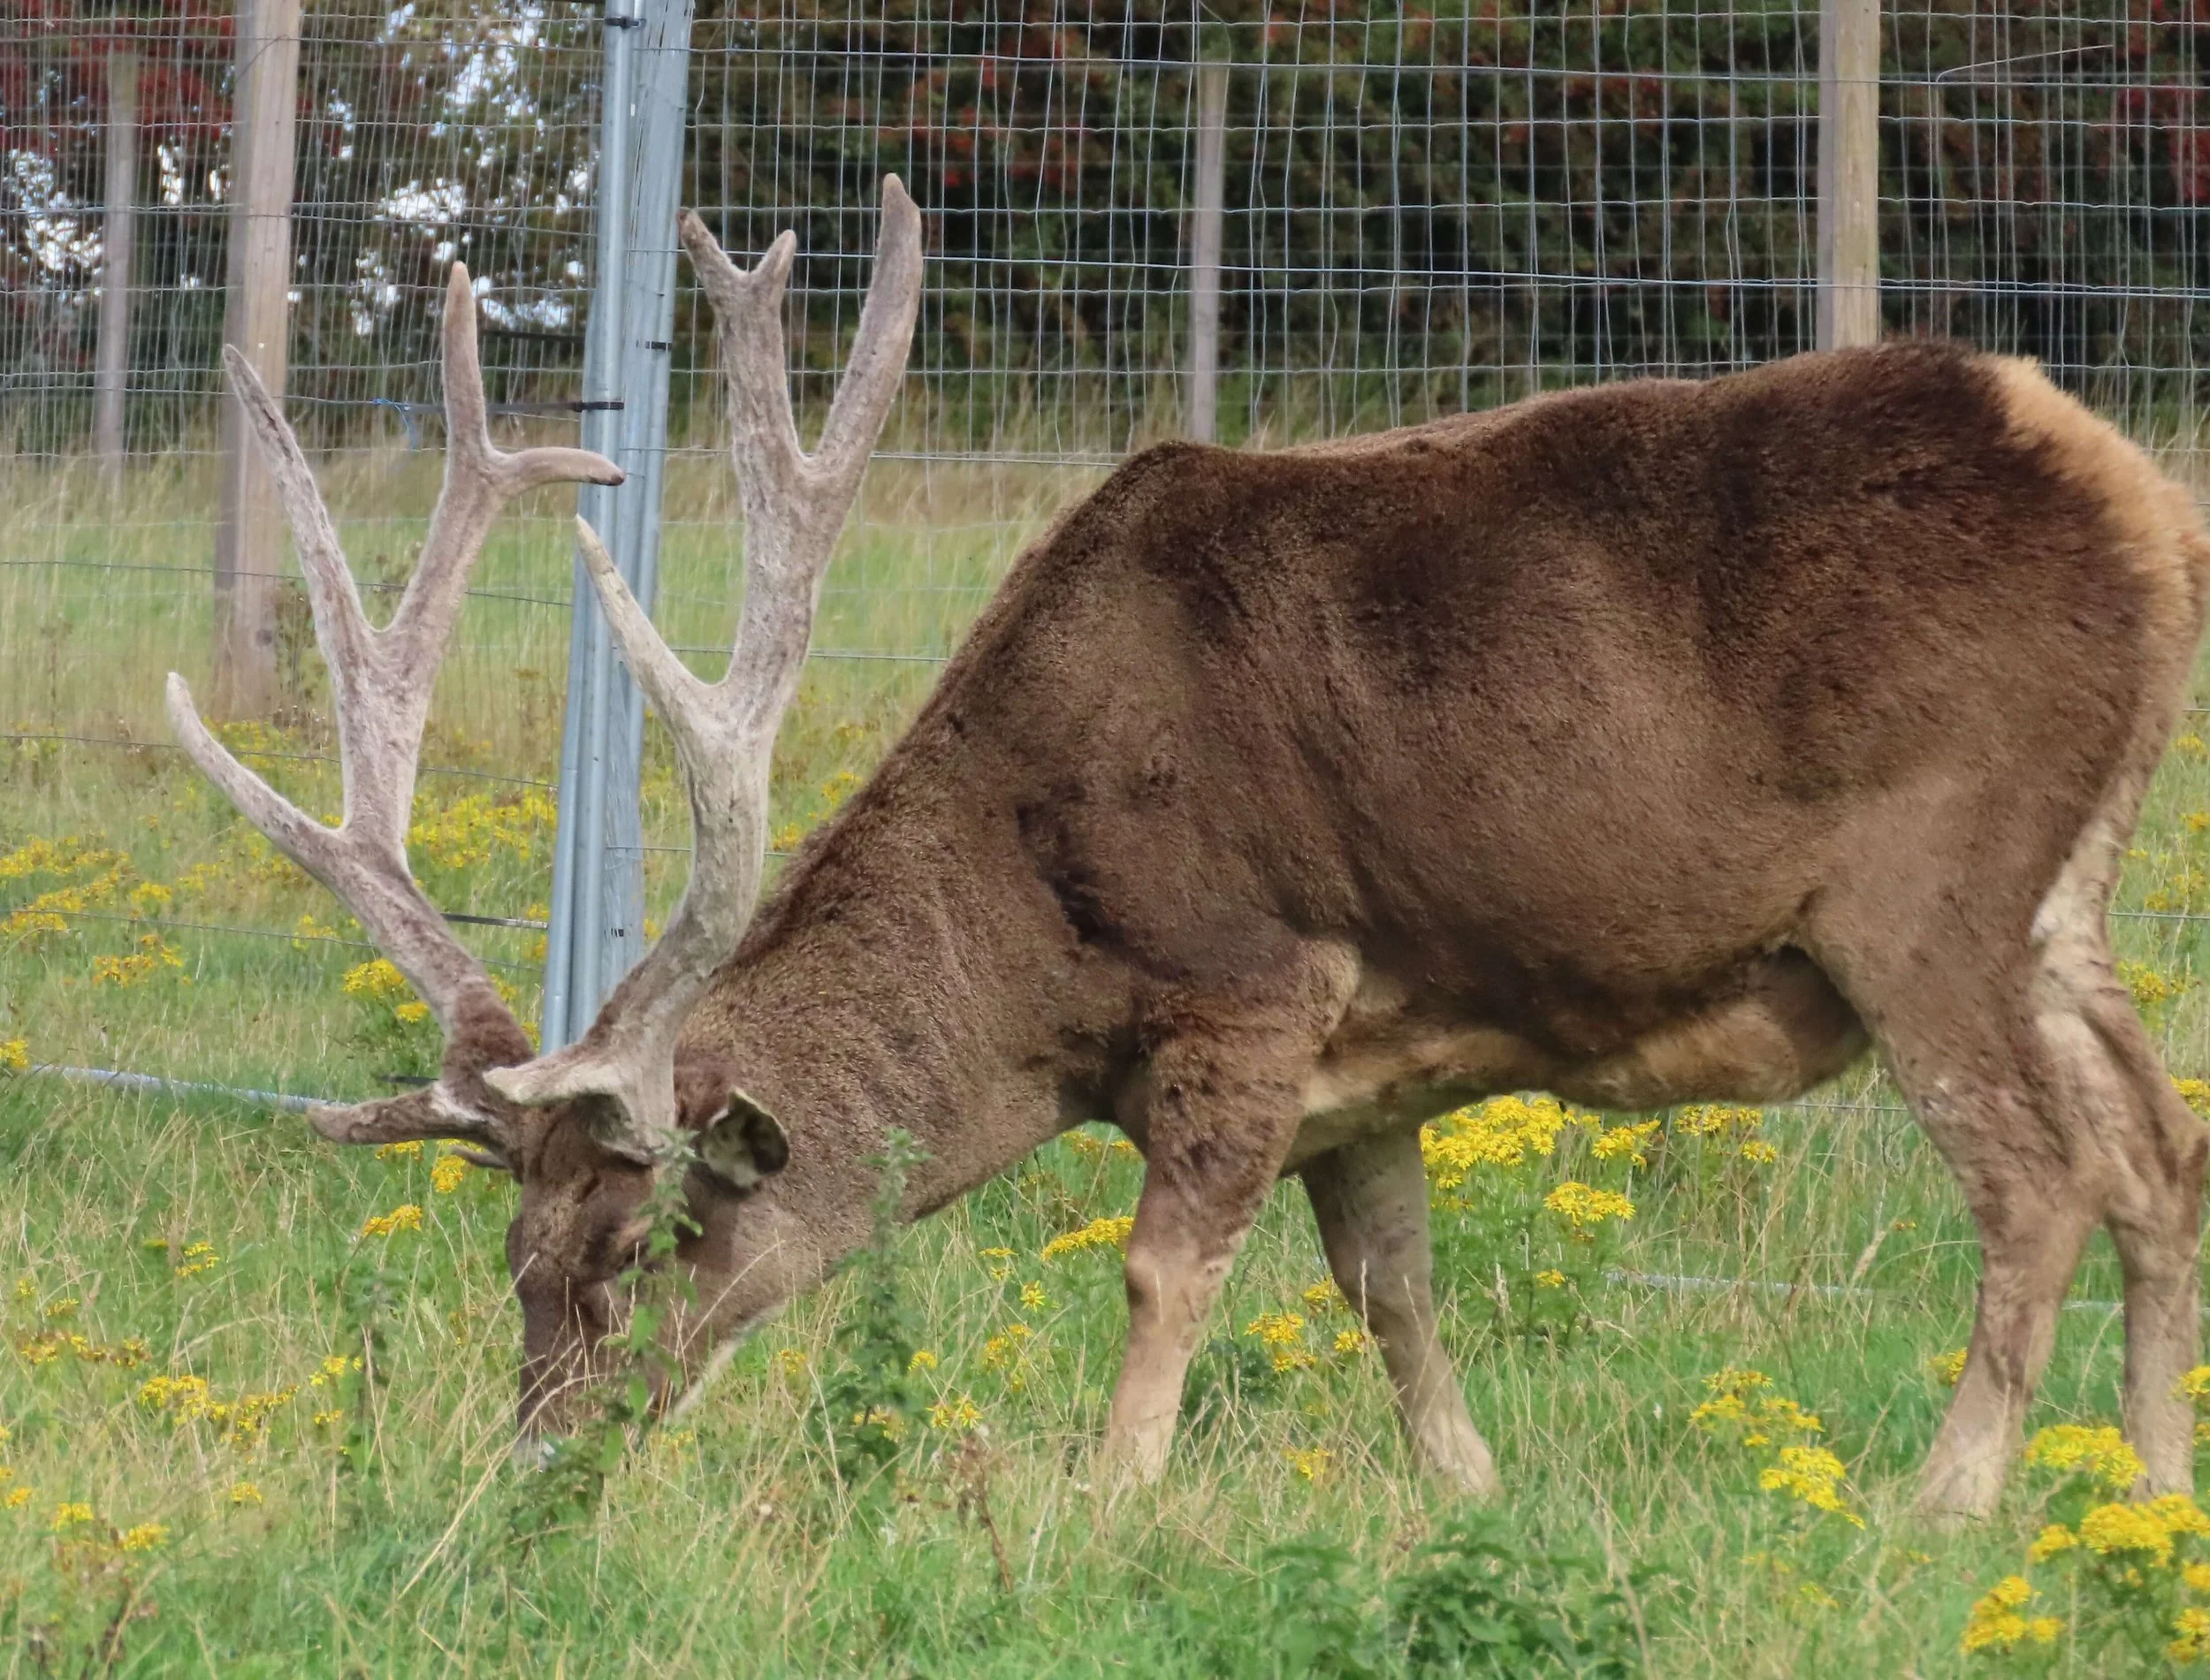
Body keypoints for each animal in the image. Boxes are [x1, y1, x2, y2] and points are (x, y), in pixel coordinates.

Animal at [167, 174, 2210, 1523]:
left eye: (640, 1243)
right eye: (510, 1260)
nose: (526, 1473)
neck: (1038, 969)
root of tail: (2141, 496)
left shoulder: (1254, 981)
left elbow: (1162, 1273)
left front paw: (1108, 1502)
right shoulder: (1372, 1067)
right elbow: (1393, 1292)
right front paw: (1468, 1494)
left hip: (1928, 879)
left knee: (2036, 1178)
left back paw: (1947, 1505)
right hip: (2066, 895)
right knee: (2156, 1149)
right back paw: (2141, 1489)